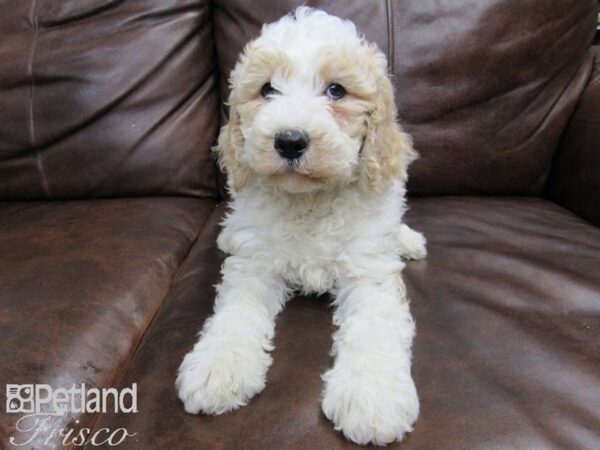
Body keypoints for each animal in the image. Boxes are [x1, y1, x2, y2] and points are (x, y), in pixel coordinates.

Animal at [177, 7, 426, 446]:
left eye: (336, 91)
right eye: (267, 89)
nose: (290, 141)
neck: (310, 199)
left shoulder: (369, 269)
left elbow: (375, 327)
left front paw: (372, 396)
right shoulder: (255, 265)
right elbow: (235, 314)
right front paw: (217, 366)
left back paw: (409, 240)